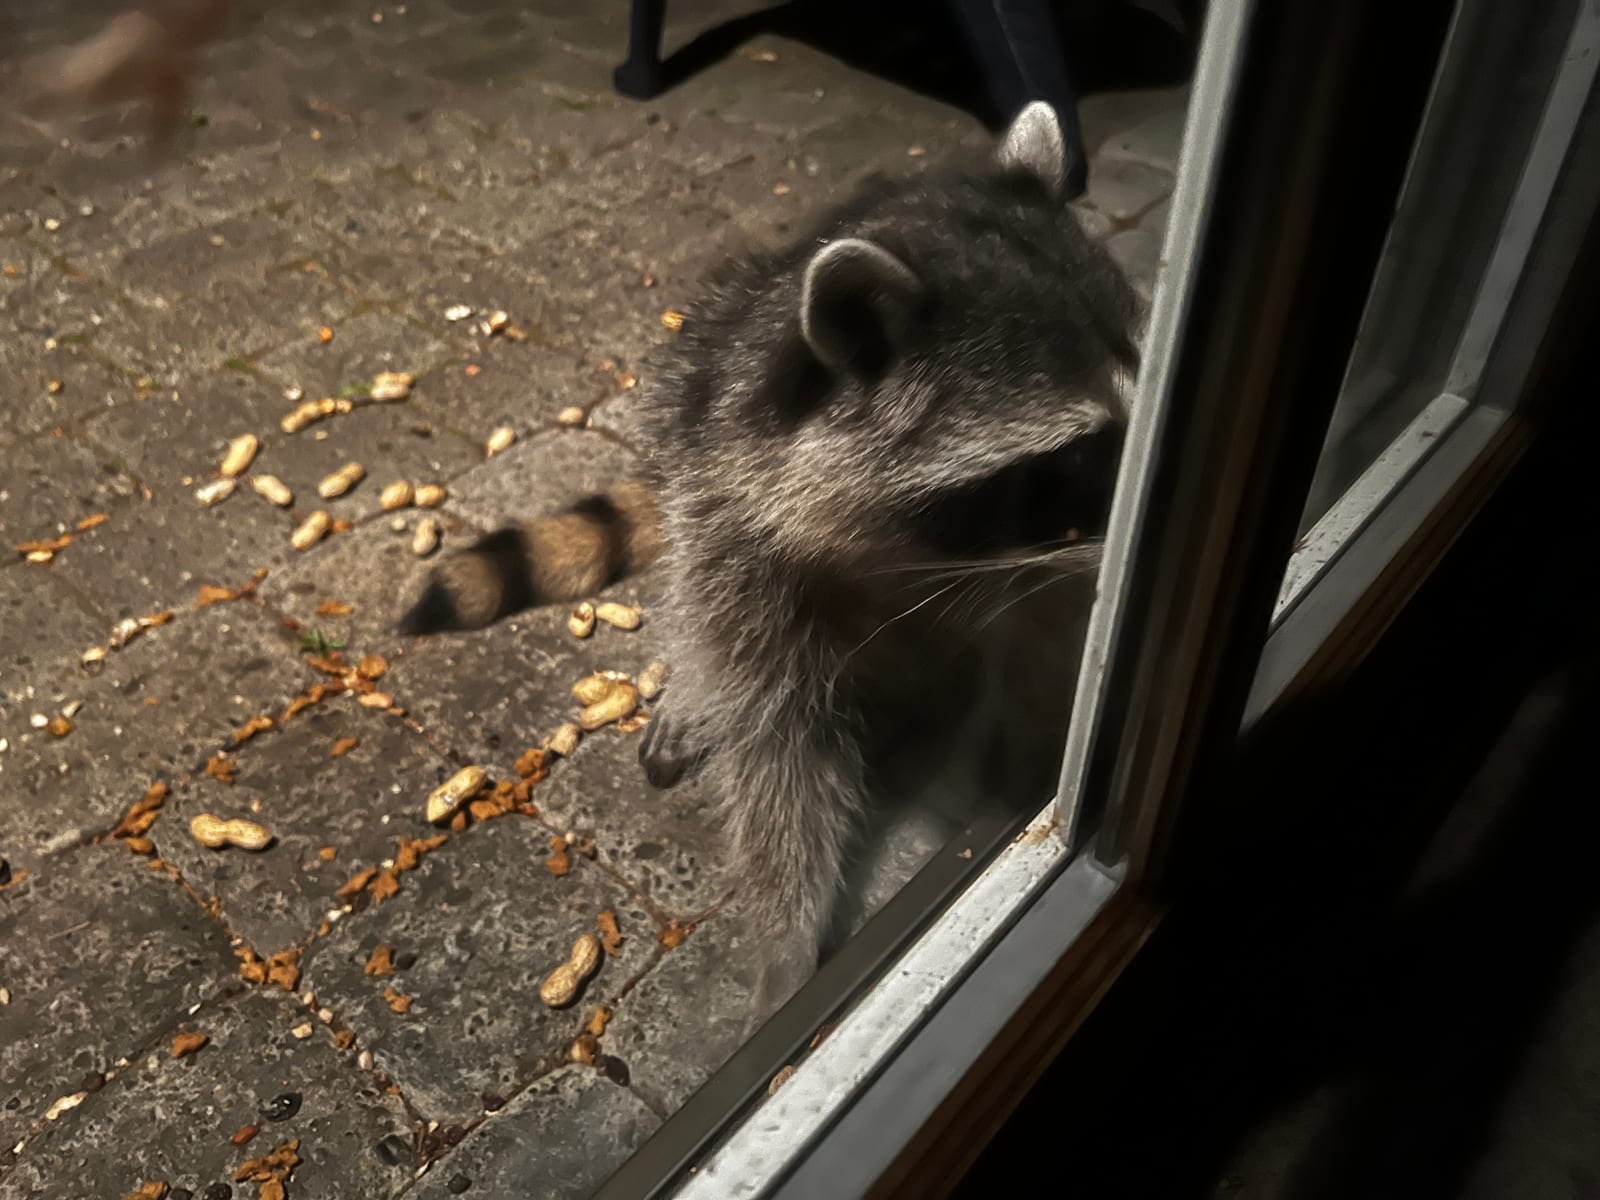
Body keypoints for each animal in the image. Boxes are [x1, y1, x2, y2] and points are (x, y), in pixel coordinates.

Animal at [401, 102, 1143, 1020]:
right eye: (1077, 453)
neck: (925, 554)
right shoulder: (739, 534)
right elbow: (778, 747)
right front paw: (787, 941)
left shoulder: (1041, 569)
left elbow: (1049, 650)